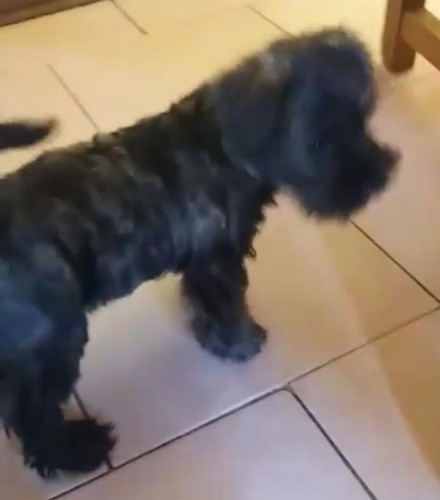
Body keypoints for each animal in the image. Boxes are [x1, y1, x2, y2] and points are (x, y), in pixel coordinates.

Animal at [0, 29, 398, 478]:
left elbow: (203, 302)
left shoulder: (204, 262)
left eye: (363, 119)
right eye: (320, 138)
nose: (381, 175)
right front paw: (242, 341)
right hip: (55, 337)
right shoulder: (219, 260)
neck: (226, 141)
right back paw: (76, 450)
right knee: (33, 412)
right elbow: (229, 306)